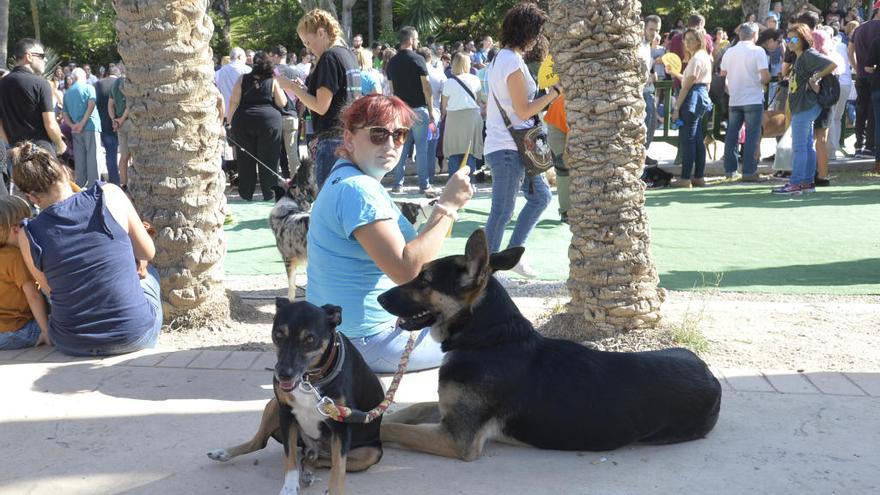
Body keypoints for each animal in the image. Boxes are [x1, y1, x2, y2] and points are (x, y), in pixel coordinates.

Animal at [208, 300, 386, 494]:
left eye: (310, 339)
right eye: (278, 334)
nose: (283, 375)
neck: (310, 381)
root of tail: (313, 448)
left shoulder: (341, 425)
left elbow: (338, 469)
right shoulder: (286, 414)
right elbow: (290, 458)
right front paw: (290, 487)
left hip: (370, 453)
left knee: (319, 460)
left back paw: (308, 471)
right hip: (274, 405)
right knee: (262, 443)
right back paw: (223, 453)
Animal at [378, 231, 720, 464]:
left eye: (424, 280)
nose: (379, 298)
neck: (486, 339)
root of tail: (711, 376)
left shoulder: (457, 438)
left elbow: (391, 430)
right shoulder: (448, 413)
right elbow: (411, 408)